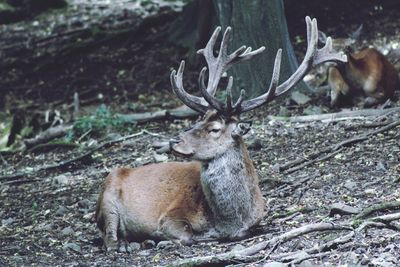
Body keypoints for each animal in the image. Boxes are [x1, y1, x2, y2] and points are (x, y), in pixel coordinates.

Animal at [95, 17, 346, 253]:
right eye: (198, 120)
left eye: (214, 128)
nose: (175, 140)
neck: (231, 219)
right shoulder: (170, 216)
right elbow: (188, 236)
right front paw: (164, 239)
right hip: (107, 199)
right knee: (108, 237)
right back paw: (126, 243)